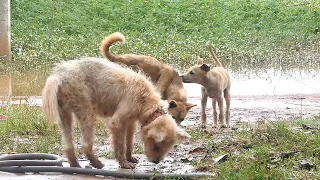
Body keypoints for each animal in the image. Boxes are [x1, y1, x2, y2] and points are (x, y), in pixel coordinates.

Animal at [40, 57, 190, 169]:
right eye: (156, 146)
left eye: (167, 147)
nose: (156, 162)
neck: (147, 103)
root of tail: (58, 76)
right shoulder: (117, 122)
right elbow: (120, 145)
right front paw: (124, 164)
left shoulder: (130, 123)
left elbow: (129, 142)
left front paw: (130, 158)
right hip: (85, 110)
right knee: (85, 145)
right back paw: (97, 163)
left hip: (64, 113)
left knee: (68, 144)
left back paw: (75, 164)